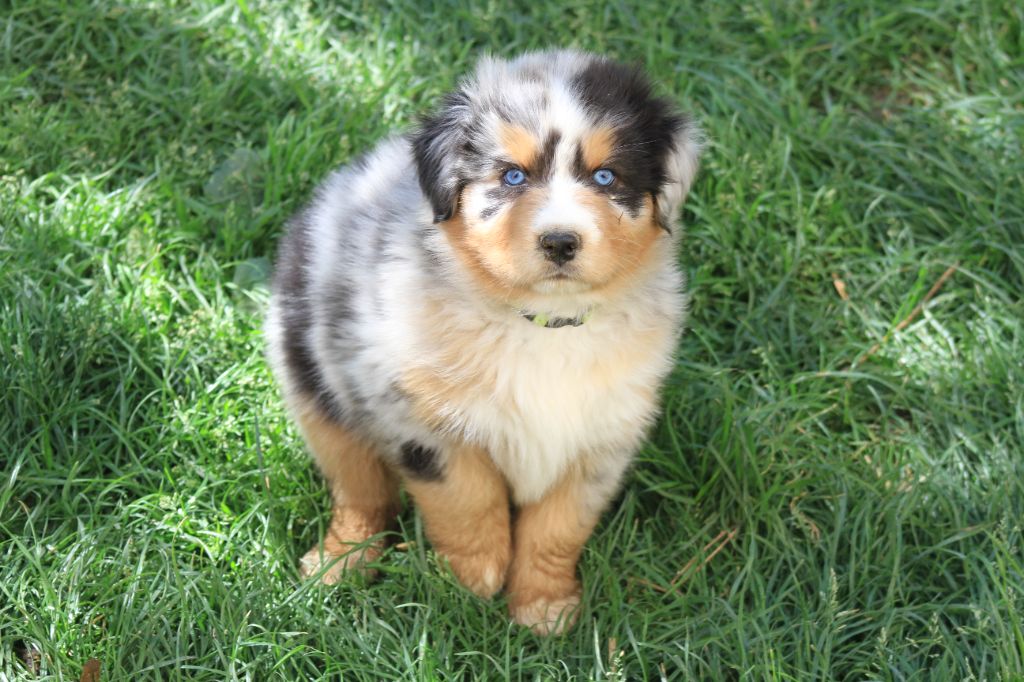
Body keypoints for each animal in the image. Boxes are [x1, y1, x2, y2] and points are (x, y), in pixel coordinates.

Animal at [264, 50, 700, 634]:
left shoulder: (603, 436)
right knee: (359, 489)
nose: (560, 241)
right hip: (315, 387)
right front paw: (472, 584)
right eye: (512, 176)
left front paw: (542, 608)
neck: (543, 325)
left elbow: (559, 526)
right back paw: (337, 565)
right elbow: (468, 499)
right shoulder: (423, 424)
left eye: (606, 176)